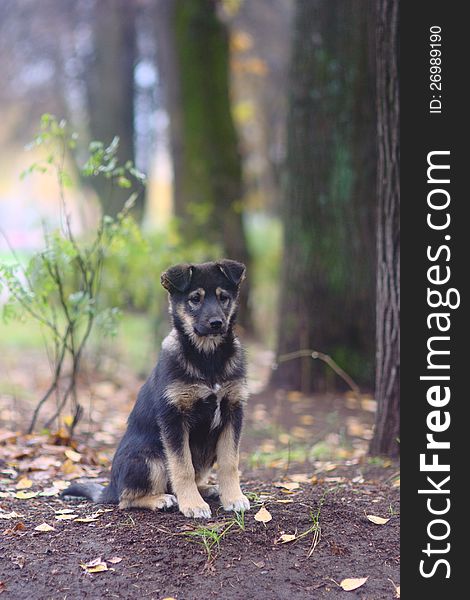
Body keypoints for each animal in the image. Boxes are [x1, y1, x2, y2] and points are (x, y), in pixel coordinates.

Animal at [65, 260, 253, 516]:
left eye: (223, 297)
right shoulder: (174, 418)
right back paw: (160, 499)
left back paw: (207, 489)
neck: (208, 357)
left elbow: (230, 462)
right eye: (195, 299)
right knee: (126, 499)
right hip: (150, 457)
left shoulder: (233, 410)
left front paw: (233, 498)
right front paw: (192, 505)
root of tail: (110, 488)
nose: (216, 323)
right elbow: (182, 467)